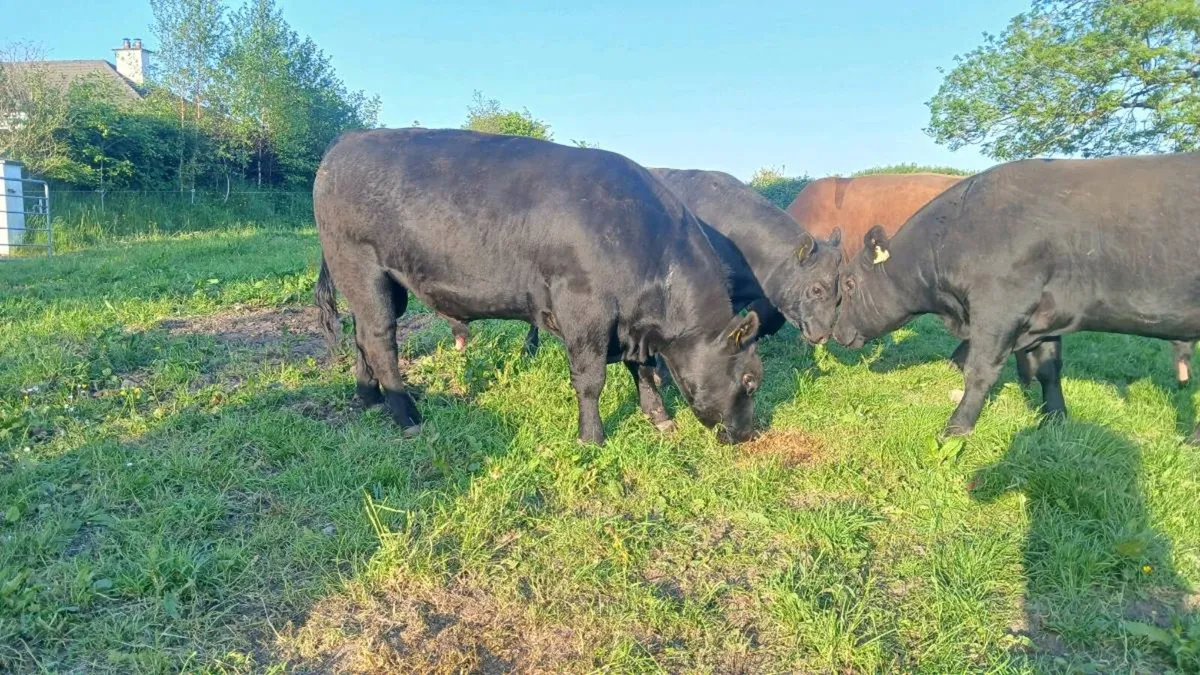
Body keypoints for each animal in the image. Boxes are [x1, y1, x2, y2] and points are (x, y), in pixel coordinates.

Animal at [312, 128, 764, 445]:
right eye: (750, 380)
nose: (748, 434)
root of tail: (348, 139)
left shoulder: (631, 324)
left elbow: (644, 371)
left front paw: (660, 418)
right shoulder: (584, 309)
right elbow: (590, 379)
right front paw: (592, 437)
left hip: (386, 285)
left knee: (361, 336)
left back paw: (369, 397)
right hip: (361, 268)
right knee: (379, 340)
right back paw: (407, 417)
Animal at [828, 153, 1200, 442]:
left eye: (849, 284)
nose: (835, 330)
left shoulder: (999, 308)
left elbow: (979, 371)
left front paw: (956, 429)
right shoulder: (1047, 316)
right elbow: (1049, 370)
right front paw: (1054, 419)